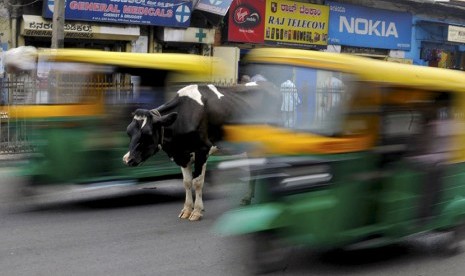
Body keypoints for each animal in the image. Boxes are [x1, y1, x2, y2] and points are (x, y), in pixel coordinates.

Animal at [121, 82, 280, 220]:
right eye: (129, 132)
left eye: (147, 134)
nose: (127, 159)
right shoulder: (183, 154)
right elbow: (186, 182)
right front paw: (186, 210)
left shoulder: (202, 150)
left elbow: (197, 182)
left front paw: (197, 211)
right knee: (255, 168)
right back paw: (248, 198)